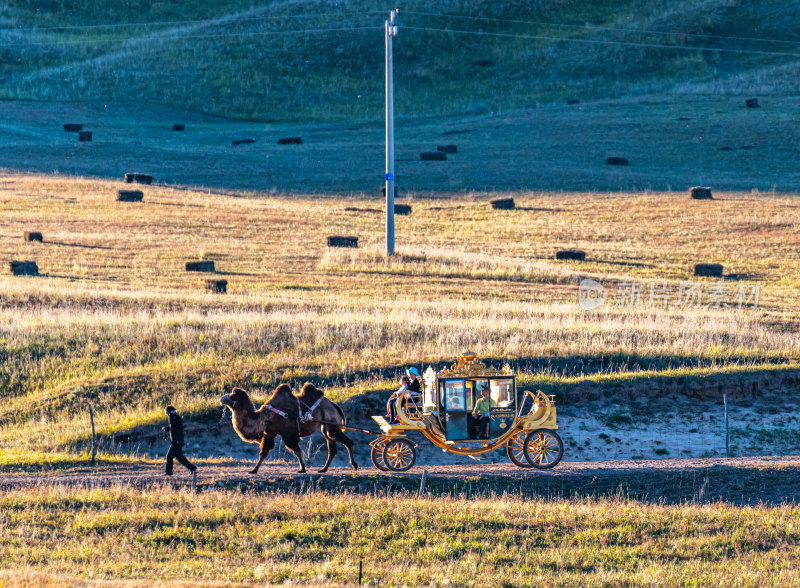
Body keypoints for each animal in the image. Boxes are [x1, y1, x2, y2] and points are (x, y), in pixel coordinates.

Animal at [217, 384, 358, 476]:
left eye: (233, 396)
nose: (222, 398)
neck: (263, 417)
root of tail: (334, 405)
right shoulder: (270, 433)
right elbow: (263, 453)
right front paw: (254, 470)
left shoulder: (287, 433)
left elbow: (296, 450)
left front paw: (302, 468)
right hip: (326, 425)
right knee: (331, 446)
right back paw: (323, 469)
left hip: (332, 422)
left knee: (347, 442)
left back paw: (354, 465)